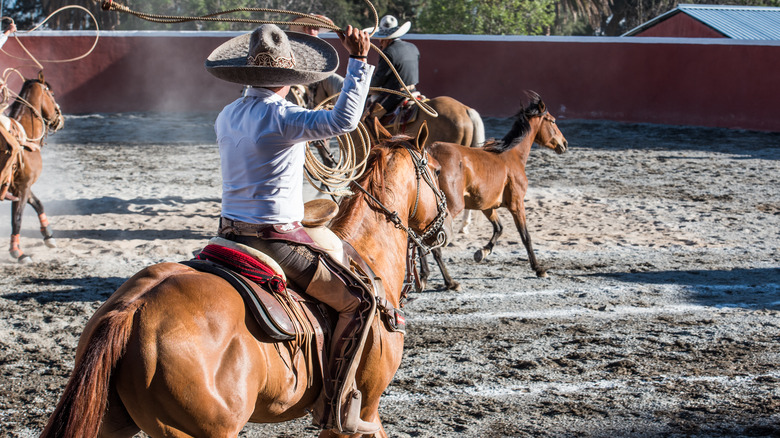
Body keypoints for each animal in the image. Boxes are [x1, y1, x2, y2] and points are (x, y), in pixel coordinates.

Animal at [0, 72, 64, 264]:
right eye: (52, 94)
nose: (60, 120)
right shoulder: (23, 186)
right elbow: (17, 219)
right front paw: (18, 252)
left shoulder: (19, 186)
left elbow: (38, 203)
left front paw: (48, 235)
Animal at [420, 91, 568, 290]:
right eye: (552, 121)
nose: (564, 144)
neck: (511, 156)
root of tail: (429, 156)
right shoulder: (517, 204)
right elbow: (525, 236)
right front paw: (539, 269)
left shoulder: (487, 206)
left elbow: (499, 228)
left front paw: (481, 252)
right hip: (450, 207)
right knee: (433, 241)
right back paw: (450, 282)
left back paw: (424, 277)